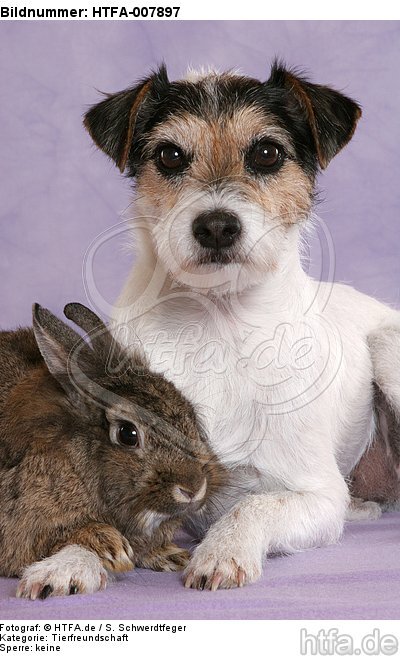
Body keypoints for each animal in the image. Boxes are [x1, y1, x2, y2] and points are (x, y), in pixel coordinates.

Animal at [83, 64, 400, 592]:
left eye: (267, 153)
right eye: (169, 155)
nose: (215, 225)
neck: (218, 323)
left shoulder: (316, 495)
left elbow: (254, 505)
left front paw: (222, 551)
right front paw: (64, 562)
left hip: (387, 349)